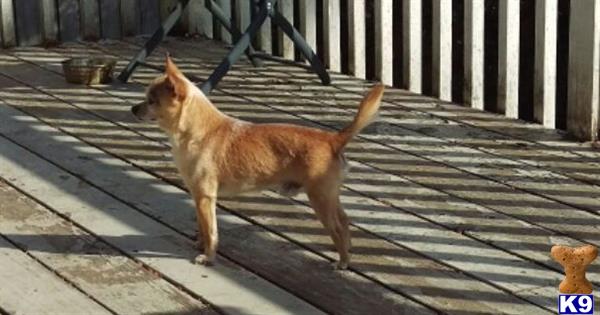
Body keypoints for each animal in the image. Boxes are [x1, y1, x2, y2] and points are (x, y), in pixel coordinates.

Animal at [131, 56, 384, 270]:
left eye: (151, 101)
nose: (133, 108)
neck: (196, 132)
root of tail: (333, 139)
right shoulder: (197, 196)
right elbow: (202, 227)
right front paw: (200, 244)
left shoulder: (205, 197)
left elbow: (211, 230)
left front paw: (208, 257)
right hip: (329, 196)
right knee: (346, 221)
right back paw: (347, 253)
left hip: (320, 198)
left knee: (338, 228)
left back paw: (342, 262)